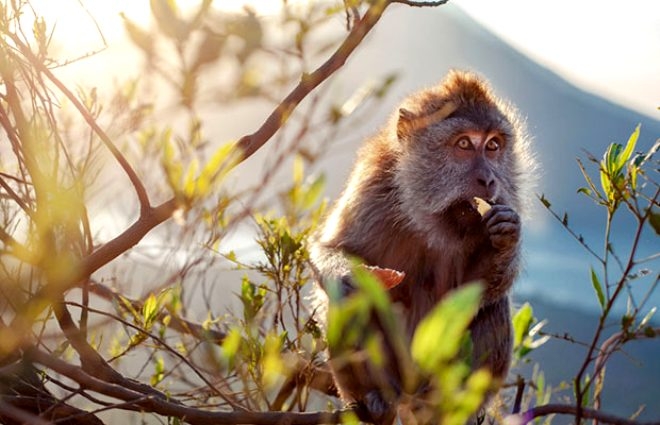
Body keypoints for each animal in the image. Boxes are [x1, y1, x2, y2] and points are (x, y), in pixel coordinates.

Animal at [308, 69, 532, 420]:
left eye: (493, 145)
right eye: (464, 144)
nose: (489, 180)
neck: (425, 213)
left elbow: (474, 291)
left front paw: (506, 237)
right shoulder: (372, 185)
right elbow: (329, 248)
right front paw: (346, 274)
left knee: (494, 306)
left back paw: (453, 407)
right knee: (347, 302)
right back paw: (373, 398)